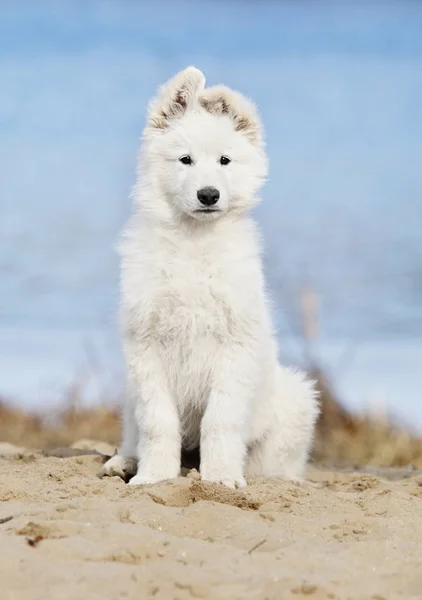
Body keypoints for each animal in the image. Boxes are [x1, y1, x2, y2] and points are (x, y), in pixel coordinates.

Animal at [99, 67, 320, 488]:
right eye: (185, 160)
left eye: (225, 161)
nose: (208, 195)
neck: (193, 244)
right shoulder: (145, 348)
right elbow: (157, 422)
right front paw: (154, 476)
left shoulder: (234, 348)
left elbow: (221, 421)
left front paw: (220, 478)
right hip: (129, 393)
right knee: (134, 433)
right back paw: (125, 462)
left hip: (295, 399)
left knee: (272, 464)